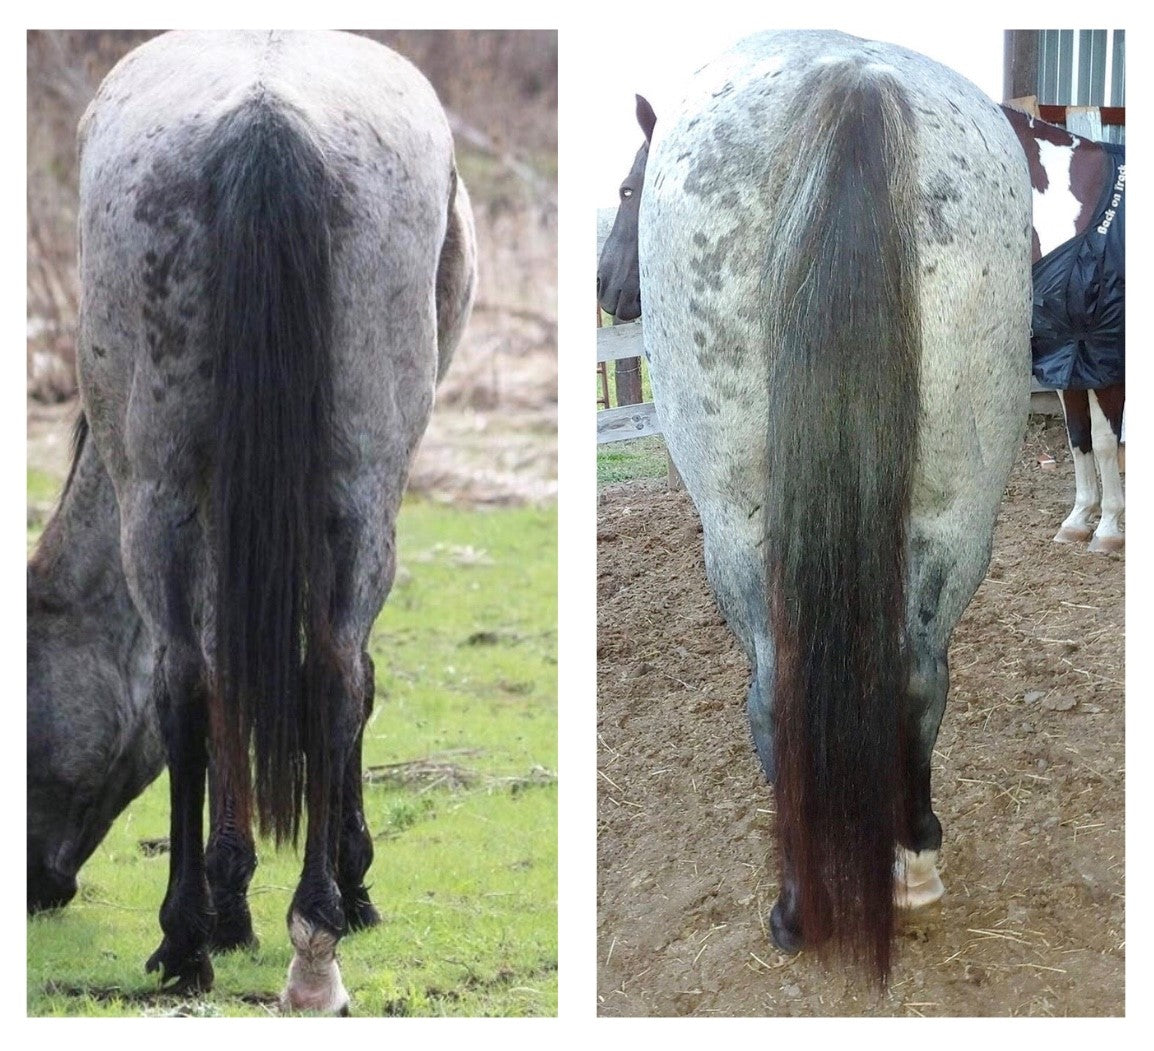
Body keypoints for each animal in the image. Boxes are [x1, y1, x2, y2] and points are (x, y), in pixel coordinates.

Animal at [66, 29, 476, 1012]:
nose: (36, 887)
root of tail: (266, 118)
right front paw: (251, 891)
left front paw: (237, 896)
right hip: (343, 493)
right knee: (318, 674)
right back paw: (302, 934)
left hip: (166, 494)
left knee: (204, 681)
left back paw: (214, 934)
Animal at [599, 30, 1032, 979]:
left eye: (624, 189)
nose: (607, 289)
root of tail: (855, 80)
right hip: (958, 514)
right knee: (919, 675)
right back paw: (913, 862)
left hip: (739, 530)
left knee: (778, 692)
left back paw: (799, 906)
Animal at [1000, 105, 1125, 554]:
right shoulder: (1068, 354)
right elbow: (1078, 436)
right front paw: (1078, 520)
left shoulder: (1105, 358)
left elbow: (1104, 440)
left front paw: (1108, 528)